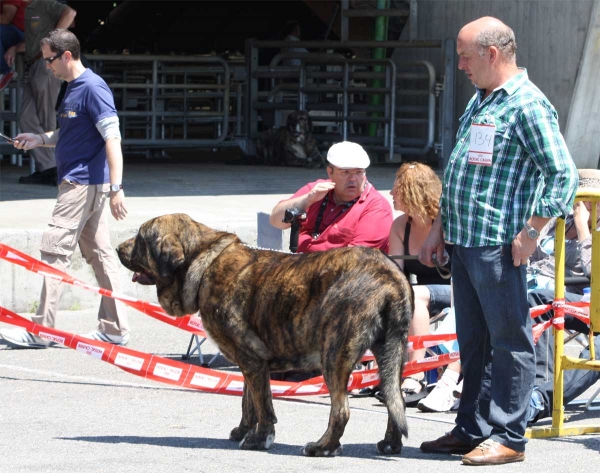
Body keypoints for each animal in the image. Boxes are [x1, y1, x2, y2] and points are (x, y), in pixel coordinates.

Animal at [119, 213, 414, 454]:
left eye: (141, 239)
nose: (118, 248)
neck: (203, 263)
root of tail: (390, 274)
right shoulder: (251, 363)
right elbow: (248, 401)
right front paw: (243, 430)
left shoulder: (250, 358)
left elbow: (263, 406)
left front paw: (259, 439)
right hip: (391, 355)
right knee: (394, 400)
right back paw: (390, 443)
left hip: (333, 356)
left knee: (341, 410)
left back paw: (323, 447)